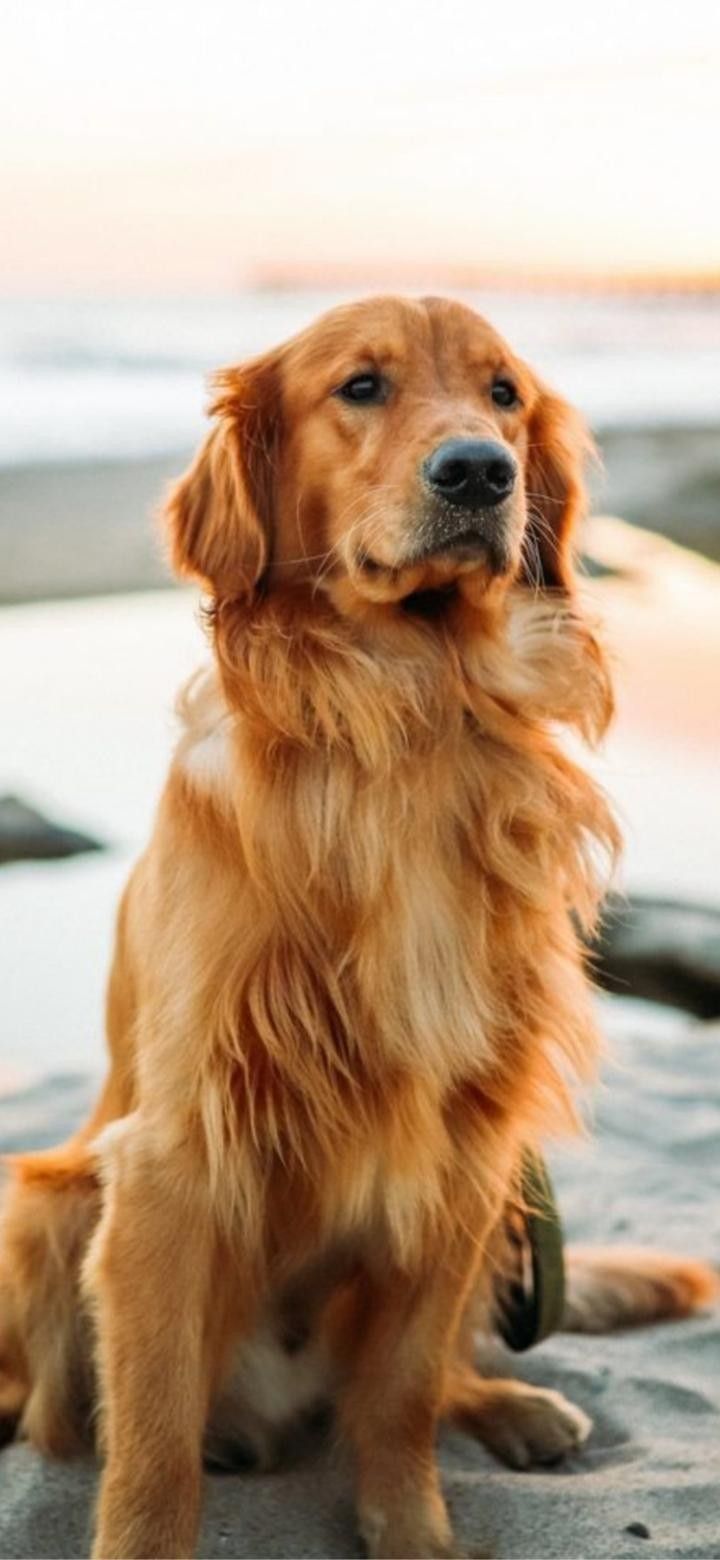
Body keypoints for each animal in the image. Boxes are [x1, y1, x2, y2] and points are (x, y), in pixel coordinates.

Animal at [0, 294, 716, 1560]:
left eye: (503, 396)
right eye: (361, 387)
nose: (480, 471)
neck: (410, 713)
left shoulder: (466, 1146)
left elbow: (402, 1395)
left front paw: (416, 1532)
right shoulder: (172, 1158)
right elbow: (150, 1444)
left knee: (430, 1373)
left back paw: (517, 1405)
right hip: (43, 1206)